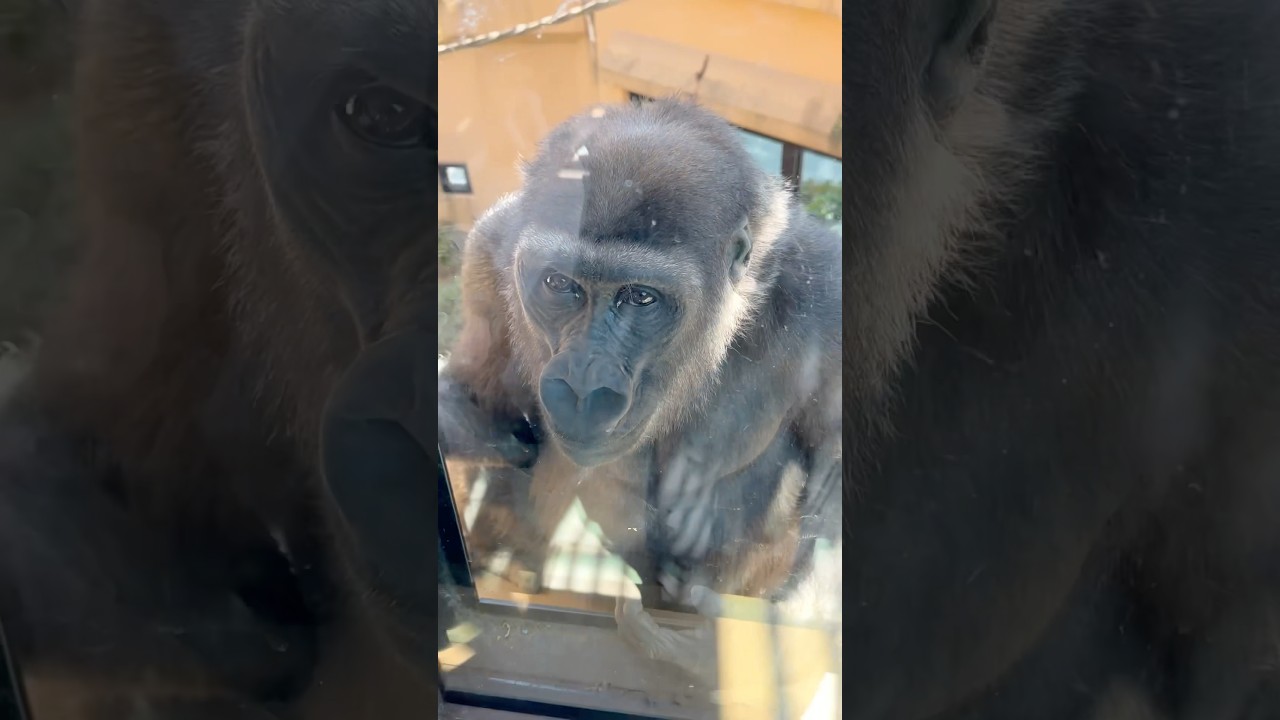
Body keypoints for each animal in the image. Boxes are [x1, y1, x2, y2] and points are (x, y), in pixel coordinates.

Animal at [435, 97, 843, 684]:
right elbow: (484, 407)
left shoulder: (827, 289)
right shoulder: (489, 254)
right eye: (559, 284)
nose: (583, 383)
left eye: (641, 298)